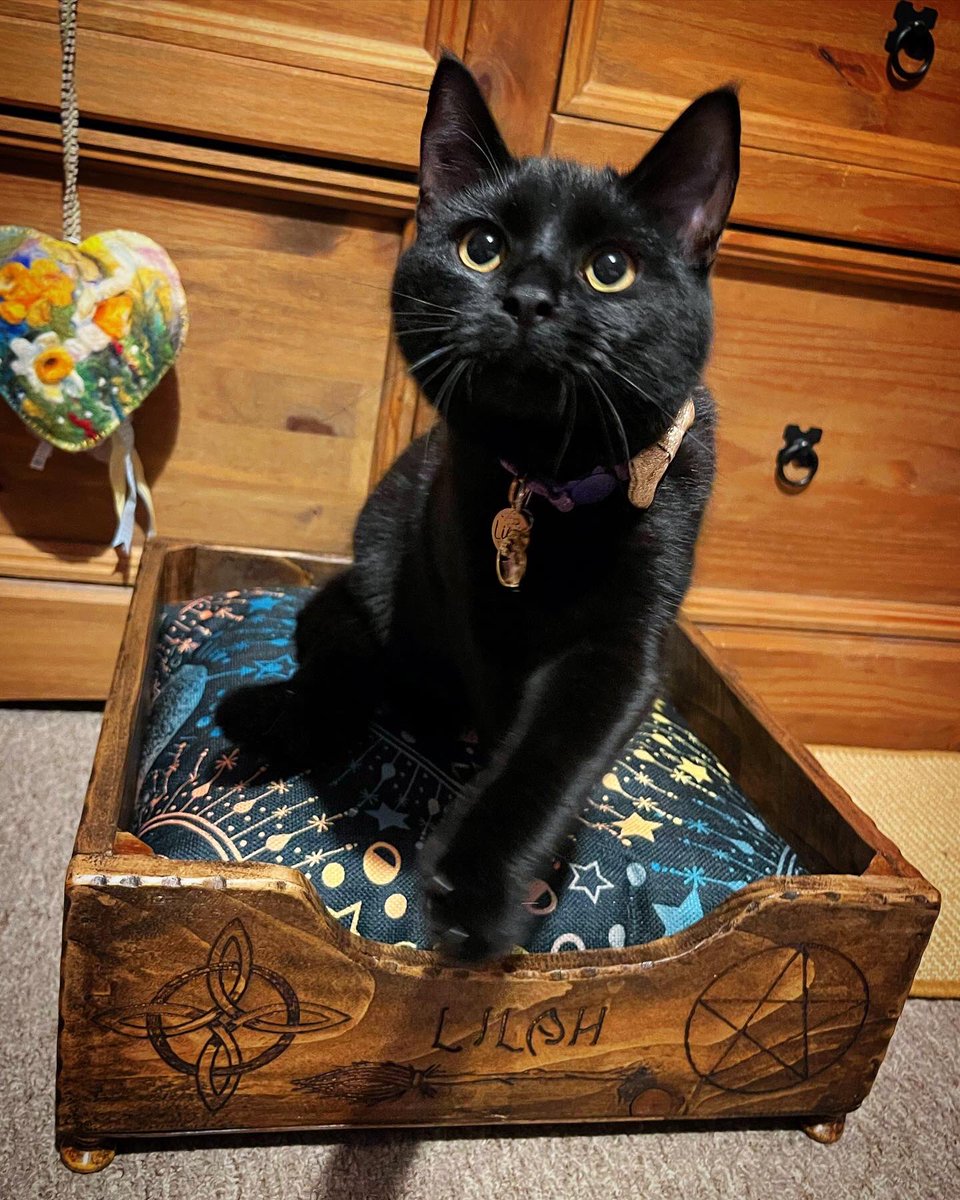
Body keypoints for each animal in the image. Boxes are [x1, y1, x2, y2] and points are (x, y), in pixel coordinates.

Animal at [219, 56, 744, 964]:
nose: (528, 297)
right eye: (481, 248)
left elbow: (555, 752)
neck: (553, 487)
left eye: (611, 268)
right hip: (363, 595)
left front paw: (486, 889)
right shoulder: (474, 603)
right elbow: (509, 727)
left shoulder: (624, 646)